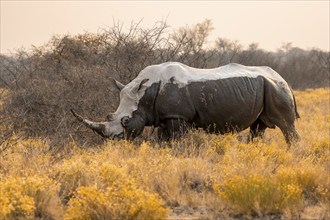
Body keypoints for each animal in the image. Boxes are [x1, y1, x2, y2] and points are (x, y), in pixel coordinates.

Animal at [71, 62, 300, 144]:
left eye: (126, 121)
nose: (114, 141)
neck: (144, 93)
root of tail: (283, 78)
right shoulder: (164, 117)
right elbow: (163, 140)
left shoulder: (177, 116)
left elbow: (176, 140)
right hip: (266, 88)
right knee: (258, 127)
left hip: (277, 89)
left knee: (286, 125)